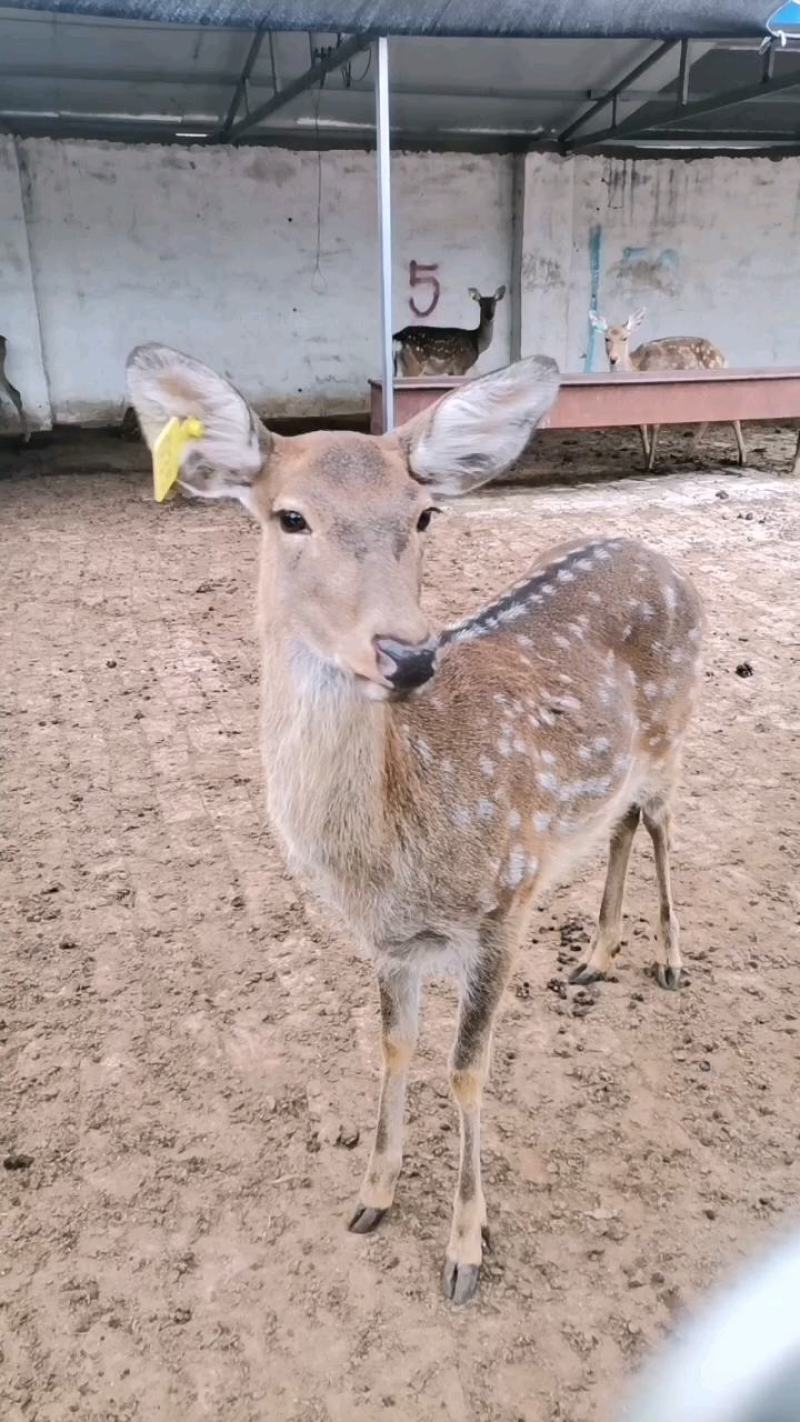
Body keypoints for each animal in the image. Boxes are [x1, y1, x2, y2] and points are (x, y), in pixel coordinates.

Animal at [127, 342, 704, 1306]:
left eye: (426, 513)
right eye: (290, 516)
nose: (407, 655)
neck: (397, 846)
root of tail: (663, 560)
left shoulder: (505, 903)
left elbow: (465, 1071)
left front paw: (466, 1250)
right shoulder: (389, 941)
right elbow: (393, 1051)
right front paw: (373, 1195)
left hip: (672, 734)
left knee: (663, 823)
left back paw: (666, 959)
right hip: (613, 777)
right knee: (620, 823)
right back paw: (596, 954)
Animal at [590, 307, 746, 472]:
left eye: (625, 338)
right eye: (606, 338)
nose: (613, 359)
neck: (637, 367)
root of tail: (724, 358)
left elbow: (655, 425)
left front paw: (651, 463)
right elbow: (641, 426)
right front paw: (646, 459)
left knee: (731, 415)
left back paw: (742, 458)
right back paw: (686, 455)